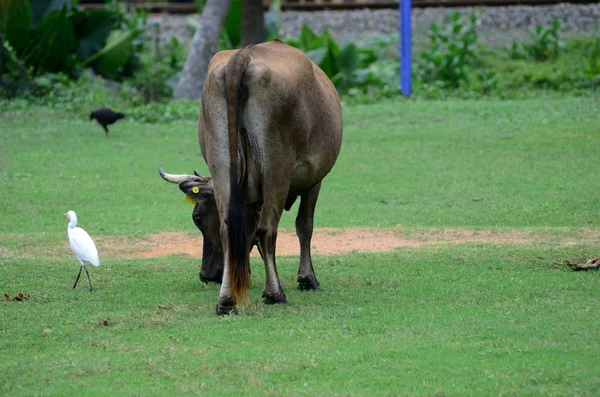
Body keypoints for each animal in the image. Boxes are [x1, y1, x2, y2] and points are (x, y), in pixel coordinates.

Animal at [159, 39, 342, 312]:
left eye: (197, 217)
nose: (207, 275)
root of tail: (242, 56)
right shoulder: (315, 179)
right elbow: (304, 225)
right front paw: (307, 279)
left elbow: (245, 232)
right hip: (277, 167)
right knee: (268, 229)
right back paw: (274, 293)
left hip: (222, 162)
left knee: (228, 230)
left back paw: (226, 300)